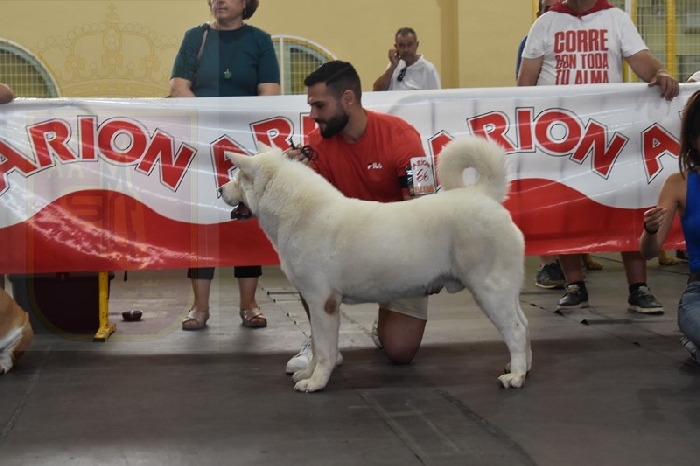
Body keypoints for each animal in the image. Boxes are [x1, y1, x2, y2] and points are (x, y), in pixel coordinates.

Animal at [220, 136, 531, 392]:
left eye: (238, 178)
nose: (221, 189)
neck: (295, 210)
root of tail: (482, 196)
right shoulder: (314, 300)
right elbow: (318, 343)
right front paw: (307, 373)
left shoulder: (323, 302)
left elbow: (324, 349)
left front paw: (316, 382)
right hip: (503, 289)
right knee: (524, 323)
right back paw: (523, 368)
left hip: (489, 289)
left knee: (515, 329)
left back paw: (514, 377)